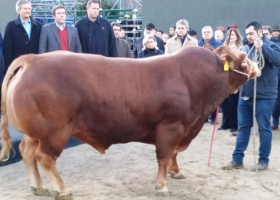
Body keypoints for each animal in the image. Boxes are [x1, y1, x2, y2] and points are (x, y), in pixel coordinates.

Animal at [0, 46, 260, 199]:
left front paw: (176, 172)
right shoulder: (171, 126)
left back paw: (38, 187)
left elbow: (173, 155)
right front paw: (162, 185)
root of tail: (34, 59)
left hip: (35, 132)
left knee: (27, 153)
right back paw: (62, 190)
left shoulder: (184, 128)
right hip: (55, 132)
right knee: (45, 158)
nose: (258, 67)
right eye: (242, 60)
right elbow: (164, 156)